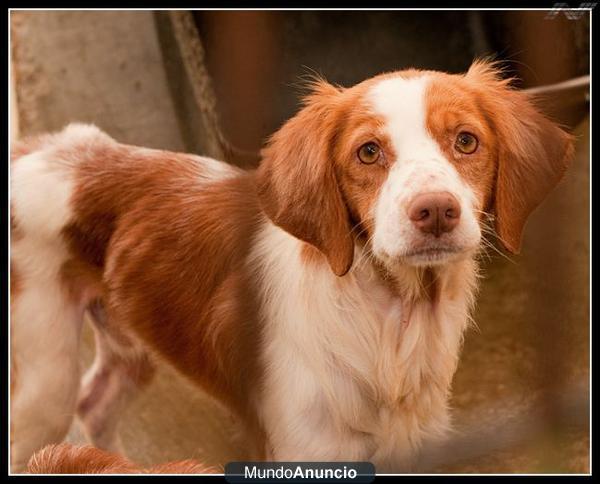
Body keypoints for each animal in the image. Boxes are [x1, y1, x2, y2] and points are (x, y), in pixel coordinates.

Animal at [8, 59, 572, 472]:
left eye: (466, 141)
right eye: (368, 152)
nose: (434, 211)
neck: (388, 326)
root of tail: (33, 148)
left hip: (128, 339)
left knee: (95, 404)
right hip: (44, 385)